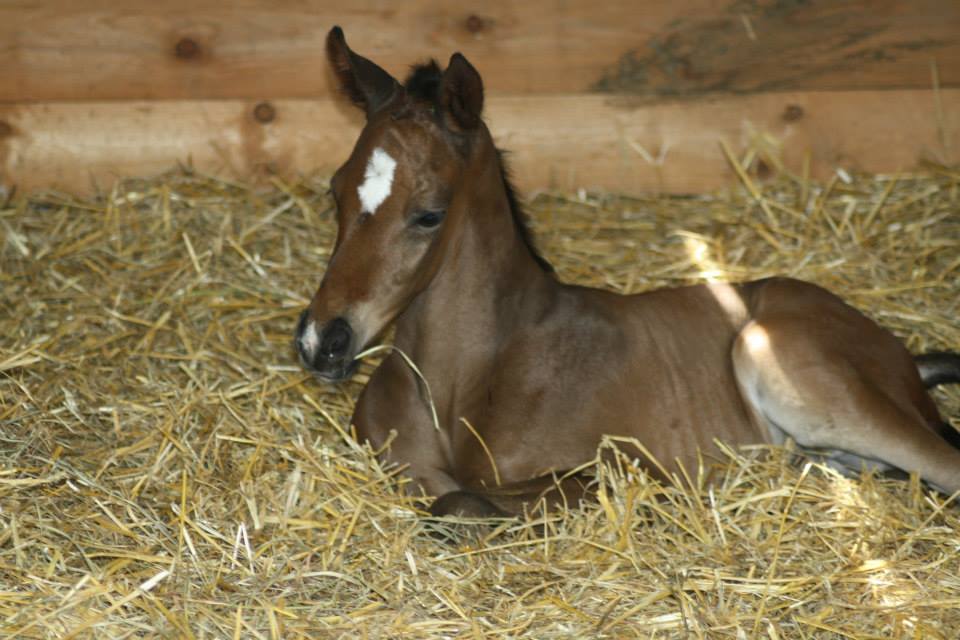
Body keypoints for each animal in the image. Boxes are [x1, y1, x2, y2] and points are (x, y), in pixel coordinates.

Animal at [294, 30, 960, 516]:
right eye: (335, 192)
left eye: (430, 213)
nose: (322, 340)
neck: (468, 378)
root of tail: (898, 353)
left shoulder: (618, 469)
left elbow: (458, 503)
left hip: (798, 369)